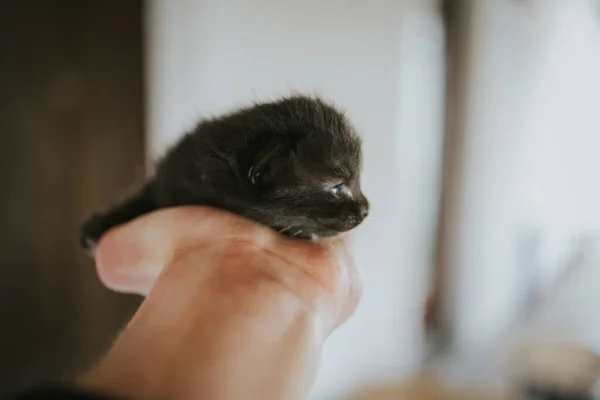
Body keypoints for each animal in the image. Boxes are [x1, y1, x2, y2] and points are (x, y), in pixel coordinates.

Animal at [78, 95, 370, 248]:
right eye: (337, 189)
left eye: (357, 182)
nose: (366, 208)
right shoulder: (167, 178)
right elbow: (140, 198)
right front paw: (99, 224)